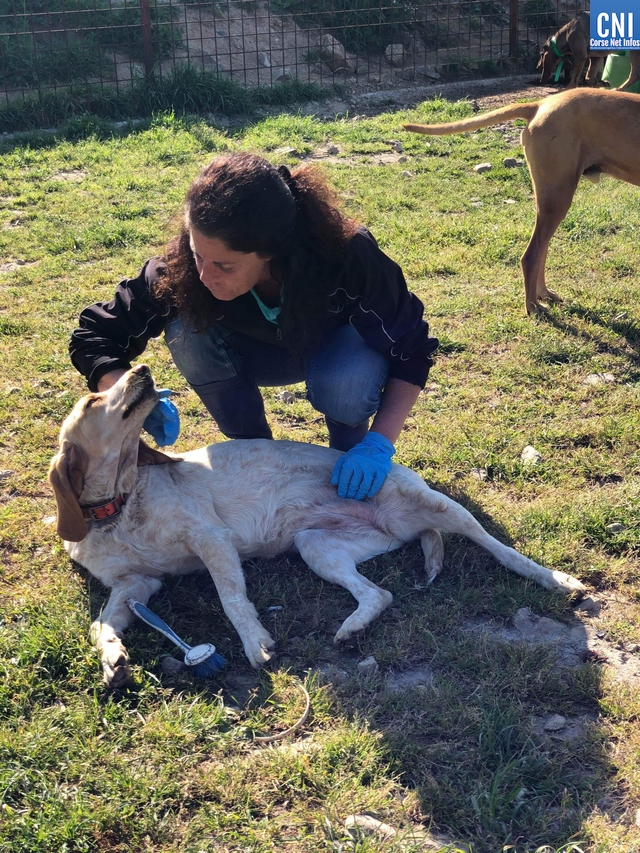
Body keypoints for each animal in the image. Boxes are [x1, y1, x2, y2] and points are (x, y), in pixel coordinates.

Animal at [49, 365, 586, 687]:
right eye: (93, 400)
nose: (140, 368)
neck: (118, 510)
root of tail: (403, 526)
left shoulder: (211, 539)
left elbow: (232, 600)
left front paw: (254, 643)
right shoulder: (136, 585)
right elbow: (101, 623)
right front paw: (112, 658)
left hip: (435, 505)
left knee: (497, 547)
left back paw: (557, 580)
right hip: (318, 546)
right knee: (379, 593)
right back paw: (352, 627)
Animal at [404, 88, 640, 314]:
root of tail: (540, 104)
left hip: (550, 198)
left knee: (541, 249)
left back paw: (542, 294)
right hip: (557, 197)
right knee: (531, 255)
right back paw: (532, 305)